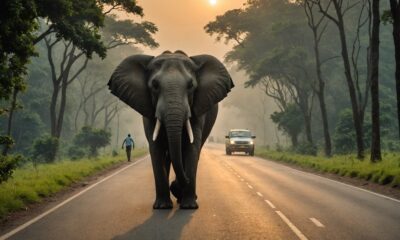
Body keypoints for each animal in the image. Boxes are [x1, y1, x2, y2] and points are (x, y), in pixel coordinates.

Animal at [108, 50, 234, 208]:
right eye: (155, 85)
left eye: (191, 85)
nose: (177, 185)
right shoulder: (149, 113)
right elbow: (156, 148)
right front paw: (162, 206)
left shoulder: (198, 111)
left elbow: (191, 147)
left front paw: (188, 206)